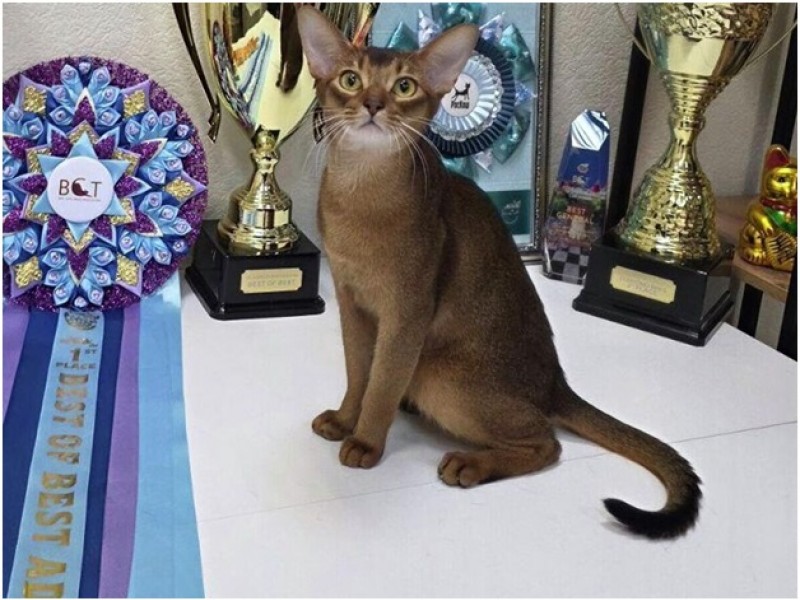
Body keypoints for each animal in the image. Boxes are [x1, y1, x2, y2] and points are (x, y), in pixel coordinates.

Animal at [297, 6, 701, 539]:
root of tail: (554, 383)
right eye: (349, 79)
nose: (373, 104)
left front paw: (366, 441)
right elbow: (358, 371)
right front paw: (346, 419)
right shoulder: (351, 301)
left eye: (404, 87)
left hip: (441, 375)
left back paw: (471, 463)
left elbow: (380, 383)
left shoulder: (407, 312)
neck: (361, 196)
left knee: (548, 443)